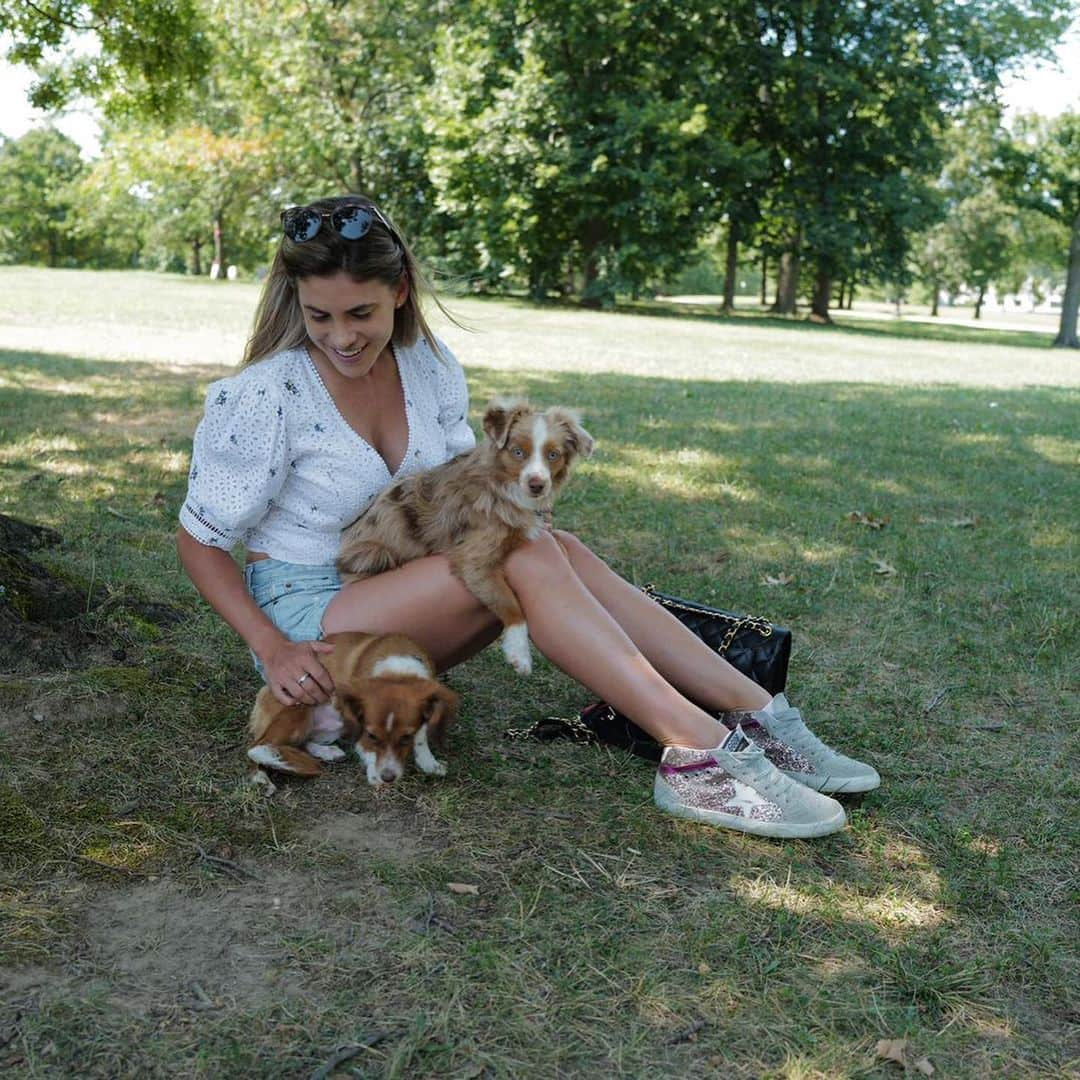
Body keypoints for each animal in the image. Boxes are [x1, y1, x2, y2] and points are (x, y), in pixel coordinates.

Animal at [247, 630, 457, 790]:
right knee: (256, 746)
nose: (387, 777)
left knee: (300, 743)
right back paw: (266, 772)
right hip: (299, 708)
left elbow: (421, 737)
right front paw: (374, 771)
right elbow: (365, 746)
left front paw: (429, 763)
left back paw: (327, 752)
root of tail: (264, 693)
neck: (398, 670)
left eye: (406, 737)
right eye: (372, 736)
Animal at [334, 399, 591, 673]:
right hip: (374, 553)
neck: (503, 487)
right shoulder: (473, 559)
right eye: (517, 452)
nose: (537, 485)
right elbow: (509, 601)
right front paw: (519, 652)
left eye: (553, 455)